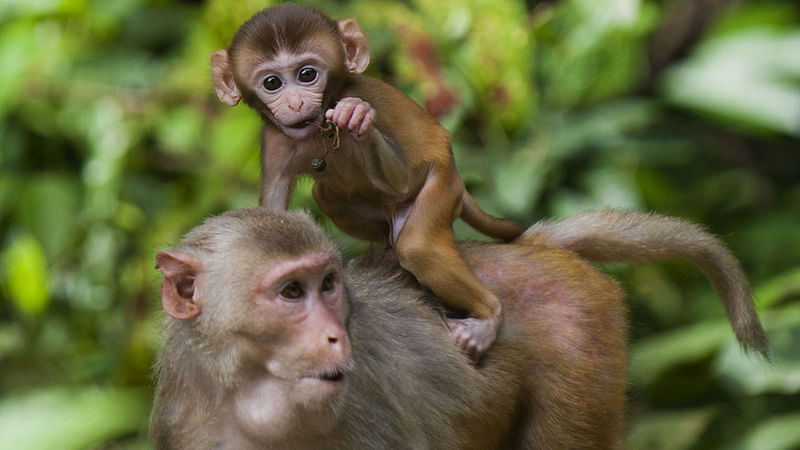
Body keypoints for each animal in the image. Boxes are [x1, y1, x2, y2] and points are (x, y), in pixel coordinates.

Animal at [152, 209, 768, 448]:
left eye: (328, 283)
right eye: (289, 293)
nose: (336, 336)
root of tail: (524, 249)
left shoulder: (368, 421)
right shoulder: (185, 419)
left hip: (580, 334)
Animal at [211, 2, 524, 358]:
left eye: (307, 74)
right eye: (272, 82)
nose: (295, 102)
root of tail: (456, 174)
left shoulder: (369, 104)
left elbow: (401, 180)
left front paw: (358, 118)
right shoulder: (276, 141)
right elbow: (274, 212)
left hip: (442, 185)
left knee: (417, 245)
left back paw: (489, 317)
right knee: (327, 197)